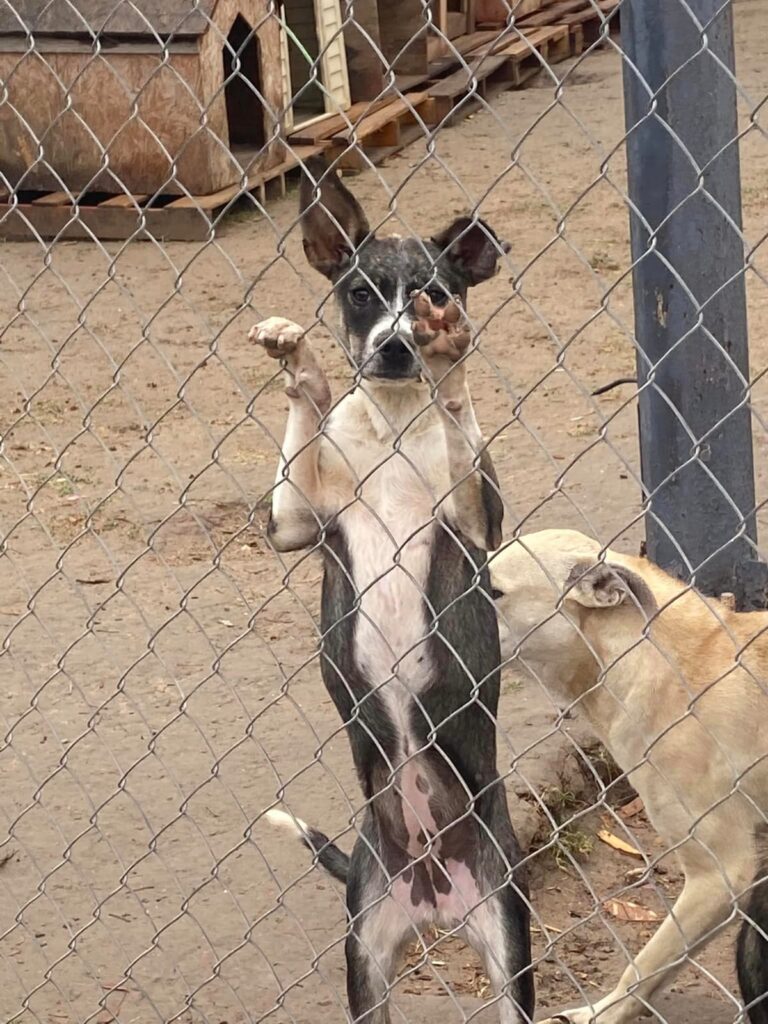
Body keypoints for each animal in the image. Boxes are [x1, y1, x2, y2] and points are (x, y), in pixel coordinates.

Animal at [256, 157, 532, 1024]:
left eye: (436, 291)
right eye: (359, 293)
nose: (398, 348)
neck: (397, 427)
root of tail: (431, 893)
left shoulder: (477, 522)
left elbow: (460, 414)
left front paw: (451, 359)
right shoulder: (294, 523)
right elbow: (305, 422)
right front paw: (301, 368)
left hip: (509, 947)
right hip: (366, 960)